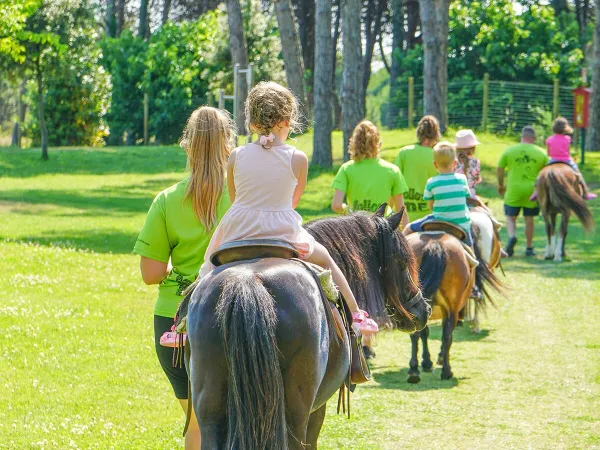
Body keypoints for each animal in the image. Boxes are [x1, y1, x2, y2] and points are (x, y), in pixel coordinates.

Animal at [186, 209, 426, 448]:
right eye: (402, 262)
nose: (423, 309)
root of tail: (247, 280)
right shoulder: (317, 409)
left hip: (208, 407)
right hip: (296, 410)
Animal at [404, 232, 502, 384]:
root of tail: (435, 244)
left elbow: (424, 333)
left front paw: (427, 362)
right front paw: (432, 360)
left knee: (416, 334)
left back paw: (414, 372)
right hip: (452, 309)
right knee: (447, 336)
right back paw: (446, 371)